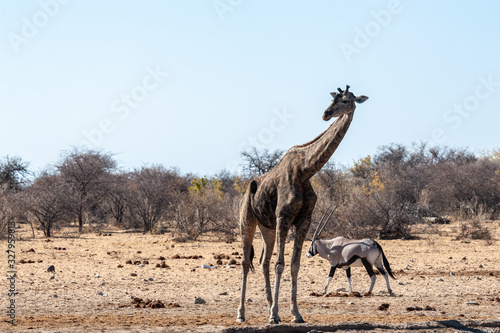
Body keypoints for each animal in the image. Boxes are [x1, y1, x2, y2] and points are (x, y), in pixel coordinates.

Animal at [236, 85, 370, 322]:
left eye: (346, 100)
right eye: (335, 98)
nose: (326, 113)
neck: (306, 170)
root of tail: (245, 195)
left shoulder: (304, 220)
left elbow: (295, 265)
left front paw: (294, 313)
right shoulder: (283, 217)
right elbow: (281, 265)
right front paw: (275, 315)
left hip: (267, 227)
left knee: (263, 262)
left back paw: (269, 306)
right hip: (248, 221)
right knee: (245, 262)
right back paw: (242, 314)